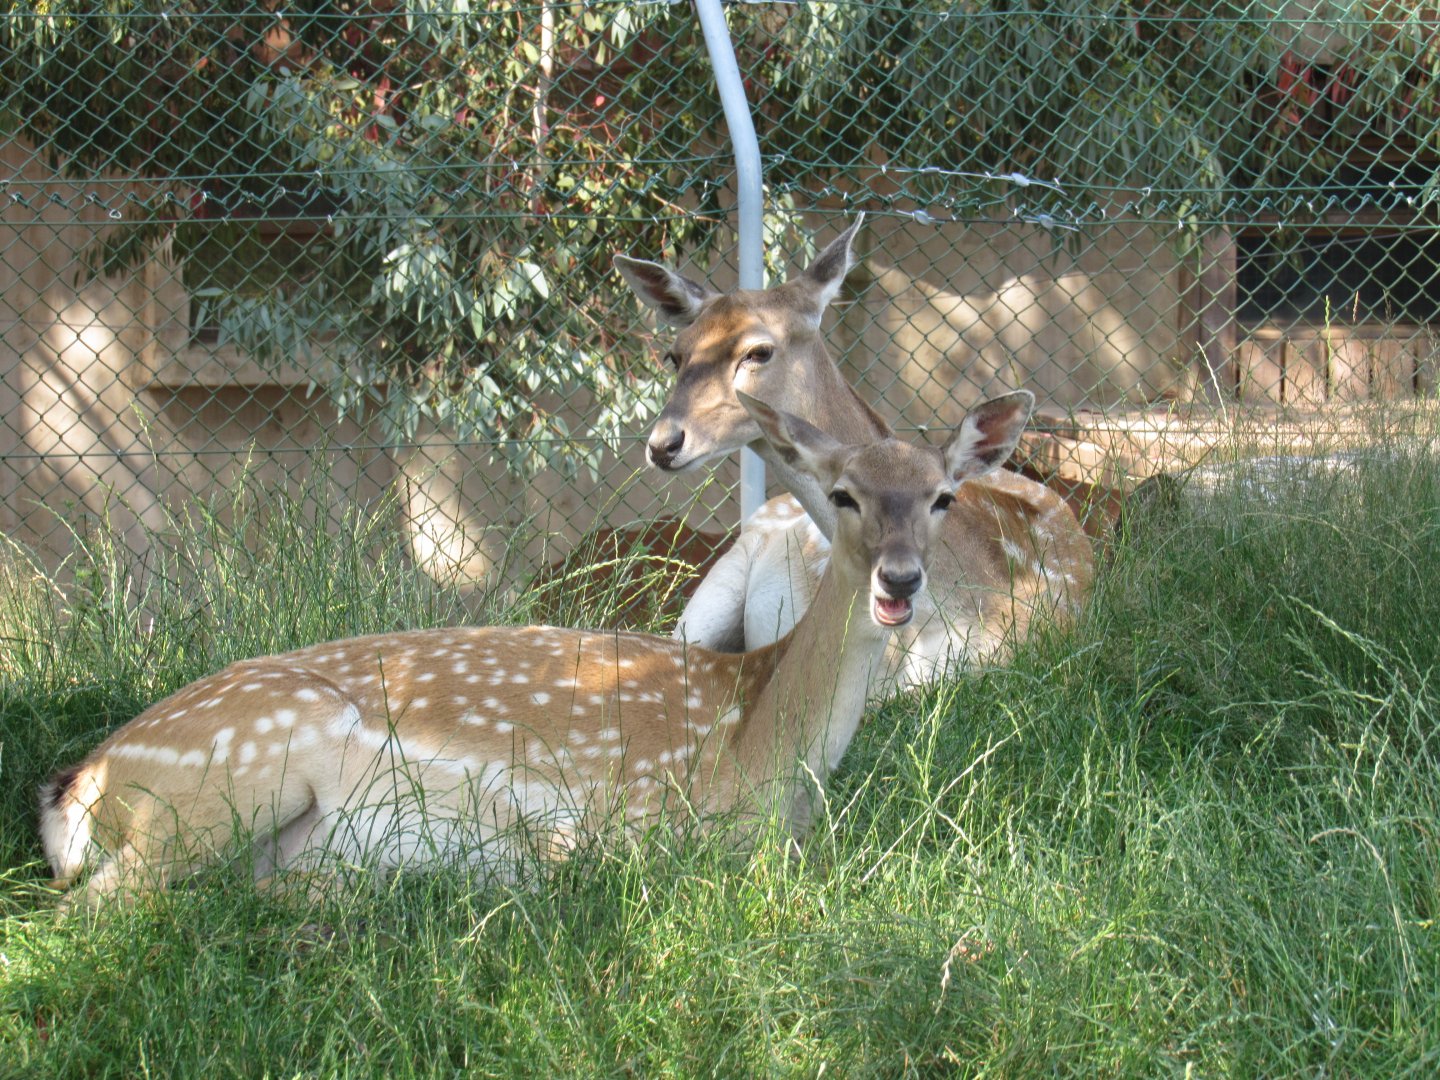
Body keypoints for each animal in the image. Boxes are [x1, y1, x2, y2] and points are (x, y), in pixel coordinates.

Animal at [39, 390, 1037, 910]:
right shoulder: (630, 815)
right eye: (841, 493)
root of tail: (83, 783)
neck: (760, 744)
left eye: (943, 496)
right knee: (98, 906)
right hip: (222, 782)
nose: (900, 581)